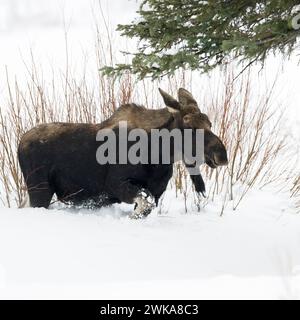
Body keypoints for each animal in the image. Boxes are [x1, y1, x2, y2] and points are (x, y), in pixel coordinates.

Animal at [18, 87, 227, 218]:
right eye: (189, 126)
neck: (159, 154)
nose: (221, 155)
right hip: (39, 190)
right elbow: (143, 206)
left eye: (209, 123)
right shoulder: (116, 184)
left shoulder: (156, 191)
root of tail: (20, 142)